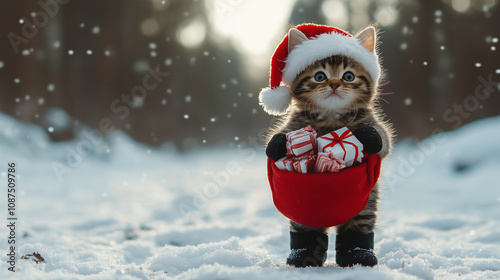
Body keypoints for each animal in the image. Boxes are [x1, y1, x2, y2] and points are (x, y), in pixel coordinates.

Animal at [264, 25, 396, 268]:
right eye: (319, 76)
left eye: (349, 76)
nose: (334, 84)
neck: (331, 118)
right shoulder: (292, 125)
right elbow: (277, 138)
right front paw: (276, 145)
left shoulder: (375, 125)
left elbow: (384, 141)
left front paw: (370, 137)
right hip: (304, 211)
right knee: (305, 229)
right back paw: (303, 255)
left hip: (366, 202)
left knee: (358, 225)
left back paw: (358, 255)